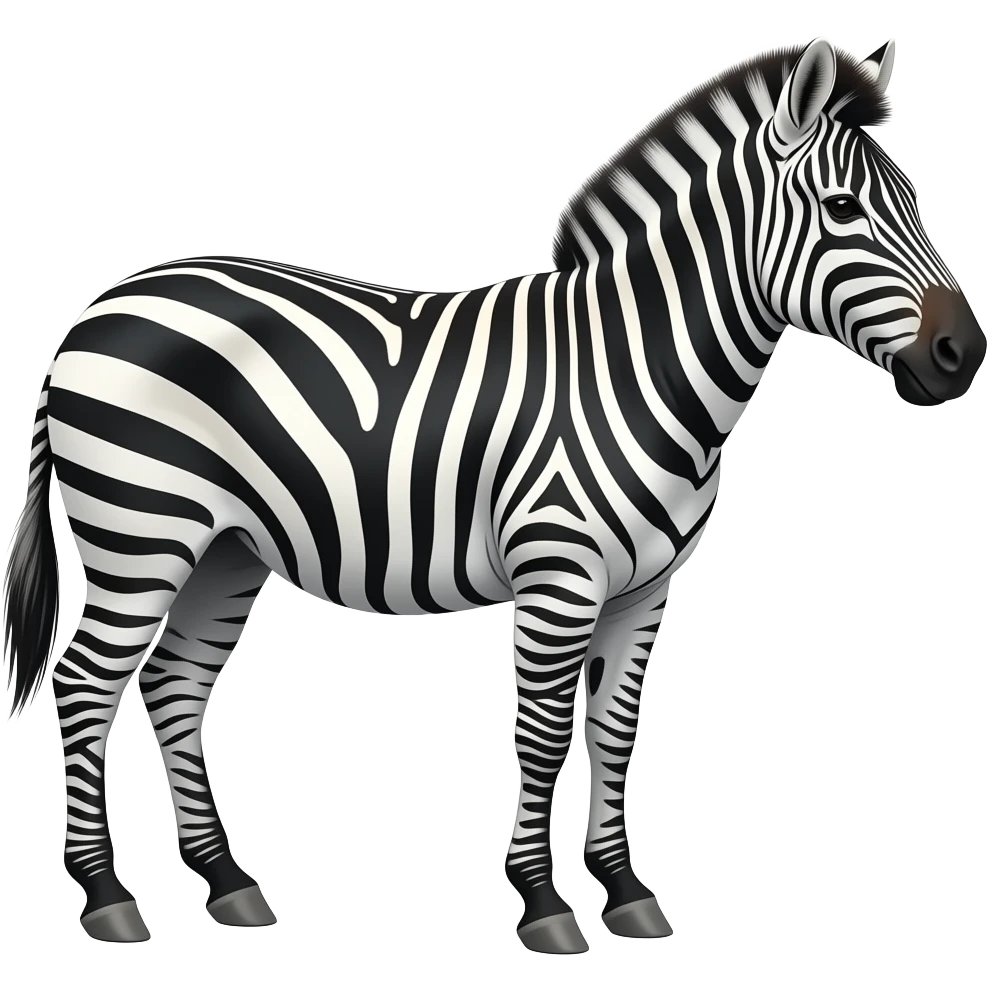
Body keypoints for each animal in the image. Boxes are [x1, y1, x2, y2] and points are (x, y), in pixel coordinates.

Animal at [2, 38, 983, 951]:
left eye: (914, 200)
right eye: (844, 208)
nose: (962, 355)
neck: (637, 367)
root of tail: (92, 313)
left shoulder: (646, 592)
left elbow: (614, 733)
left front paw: (626, 893)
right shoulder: (559, 579)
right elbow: (543, 735)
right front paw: (546, 907)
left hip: (225, 550)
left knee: (173, 683)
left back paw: (229, 883)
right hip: (141, 530)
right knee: (86, 683)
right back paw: (107, 898)